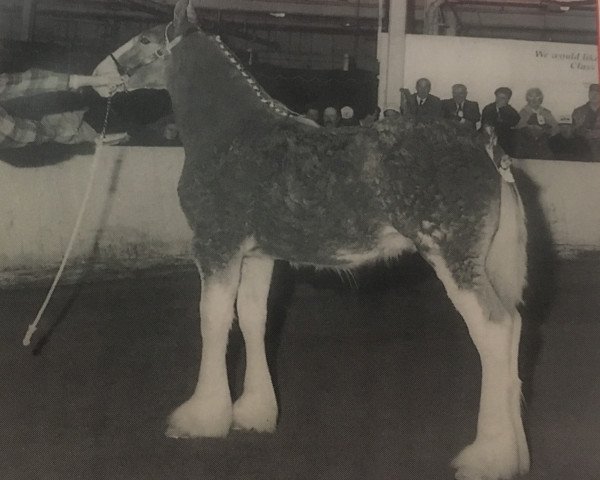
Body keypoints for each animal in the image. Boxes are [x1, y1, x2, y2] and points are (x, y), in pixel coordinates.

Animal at [97, 1, 528, 478]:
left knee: (494, 329)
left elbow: (213, 319)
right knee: (514, 326)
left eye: (145, 40)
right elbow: (252, 318)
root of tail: (484, 145)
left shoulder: (216, 245)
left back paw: (487, 456)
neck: (234, 135)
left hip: (454, 257)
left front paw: (200, 417)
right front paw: (253, 412)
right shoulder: (258, 255)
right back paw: (515, 454)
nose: (99, 75)